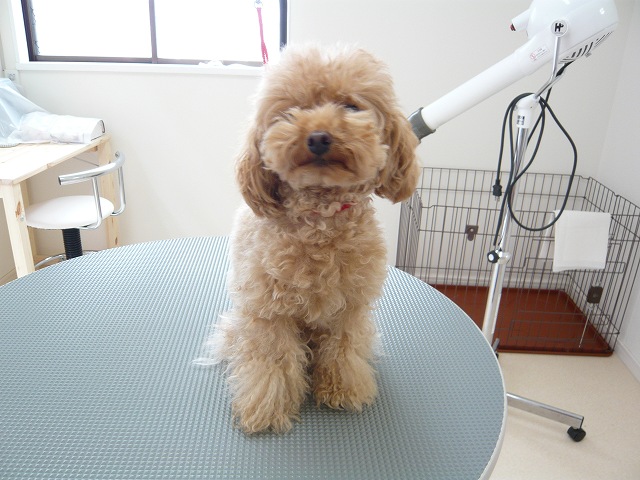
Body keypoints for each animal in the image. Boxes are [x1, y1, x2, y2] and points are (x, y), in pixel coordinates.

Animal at [210, 44, 420, 433]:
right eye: (291, 110)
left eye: (350, 106)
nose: (319, 136)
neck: (320, 219)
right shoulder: (269, 309)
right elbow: (273, 360)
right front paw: (267, 408)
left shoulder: (350, 308)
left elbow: (343, 349)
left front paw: (343, 390)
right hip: (244, 322)